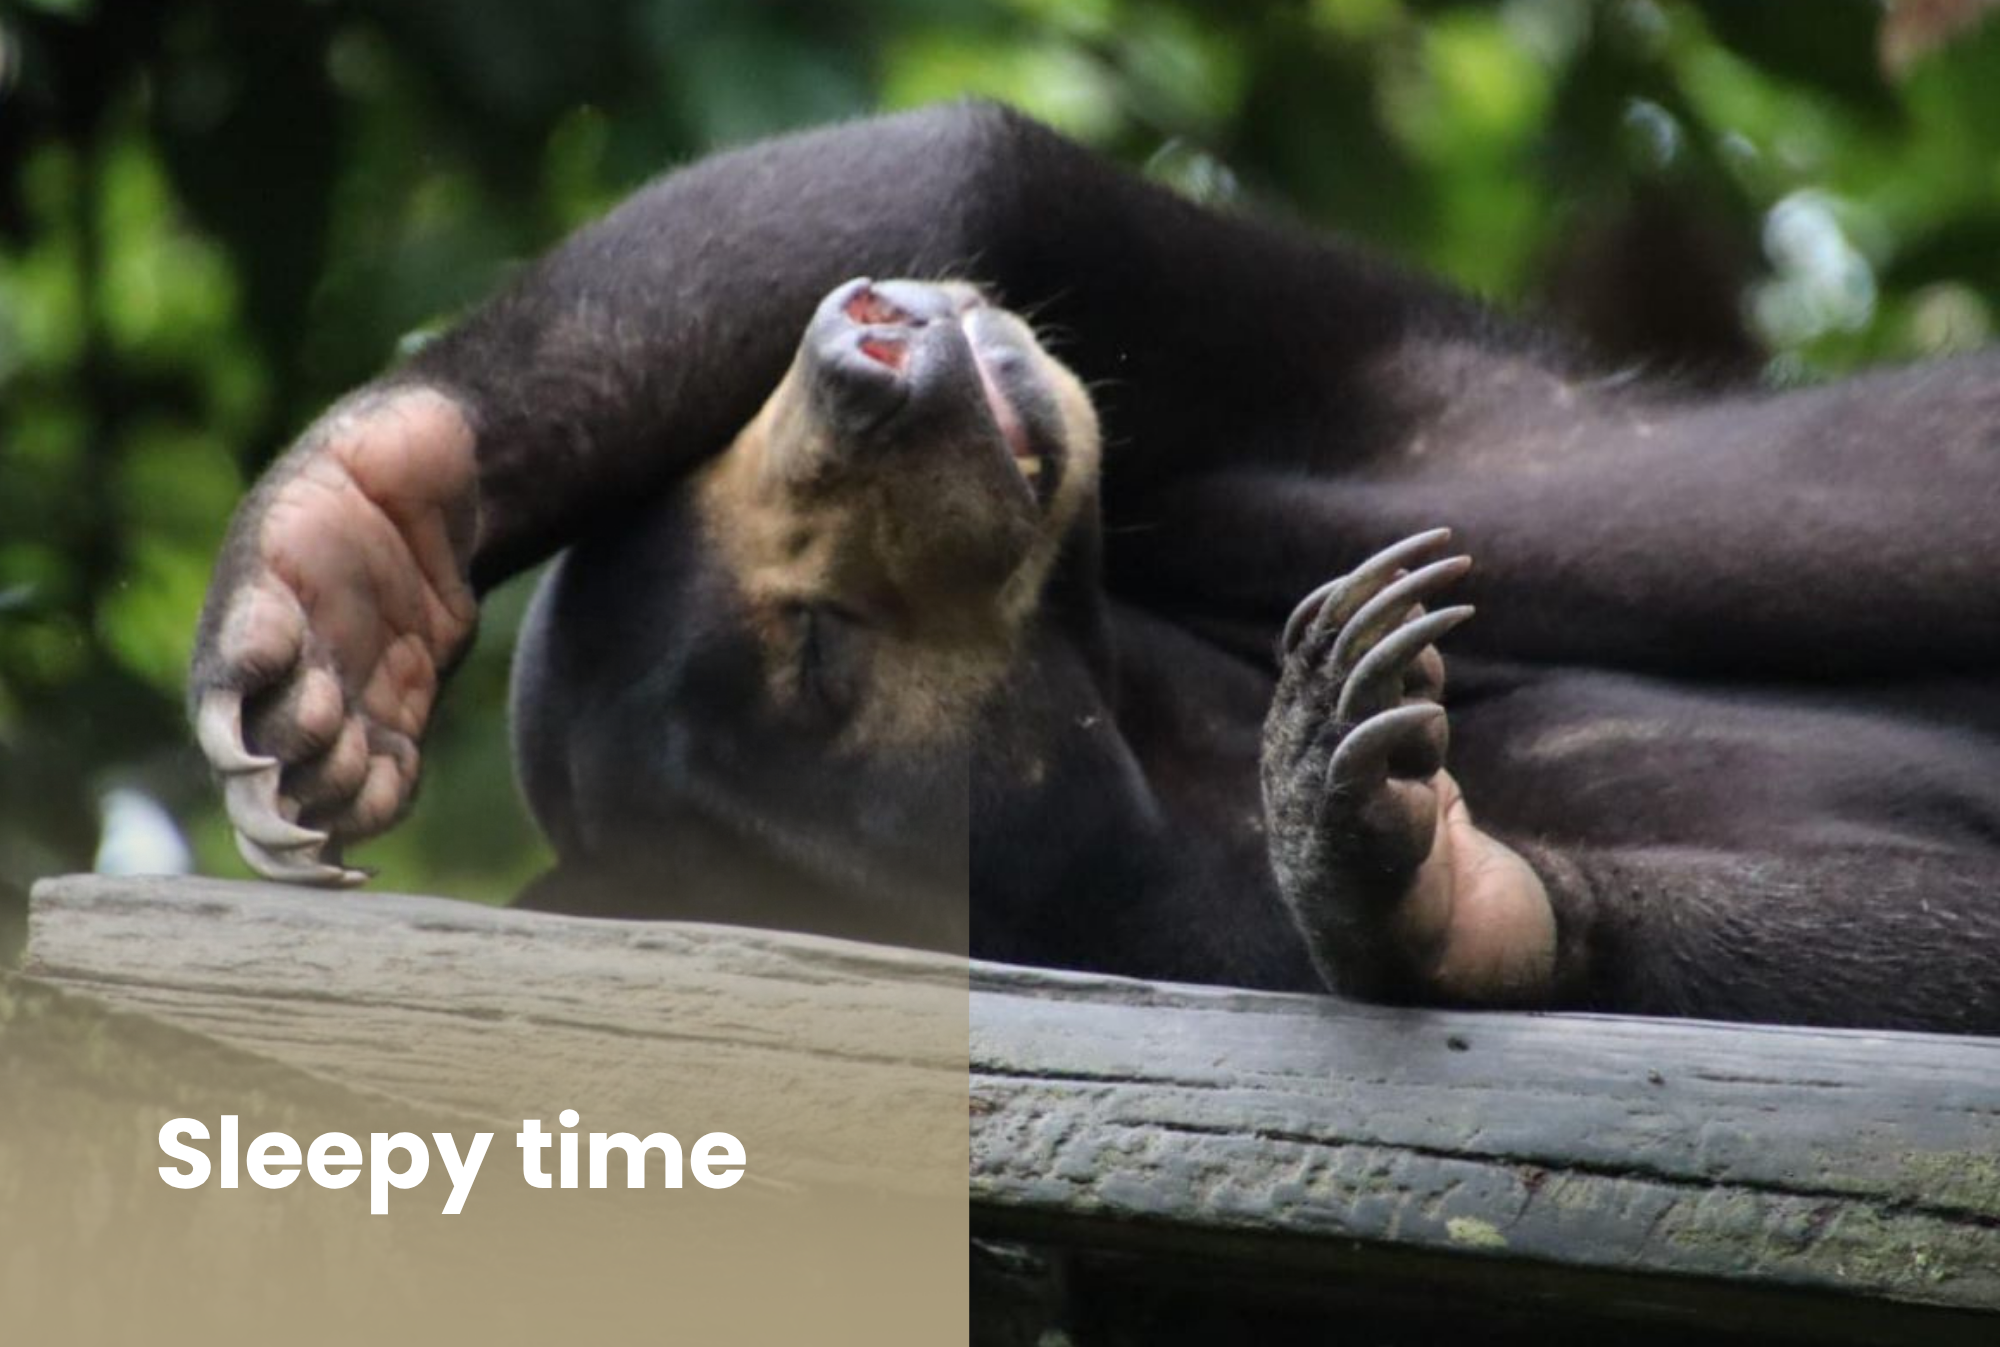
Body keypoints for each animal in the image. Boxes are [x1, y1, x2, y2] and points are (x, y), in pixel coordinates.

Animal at [189, 101, 2000, 1032]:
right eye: (820, 650)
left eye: (718, 471)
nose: (869, 352)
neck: (1151, 712)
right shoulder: (1172, 926)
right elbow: (1936, 940)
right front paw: (1415, 865)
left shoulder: (1343, 417)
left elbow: (985, 170)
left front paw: (341, 577)